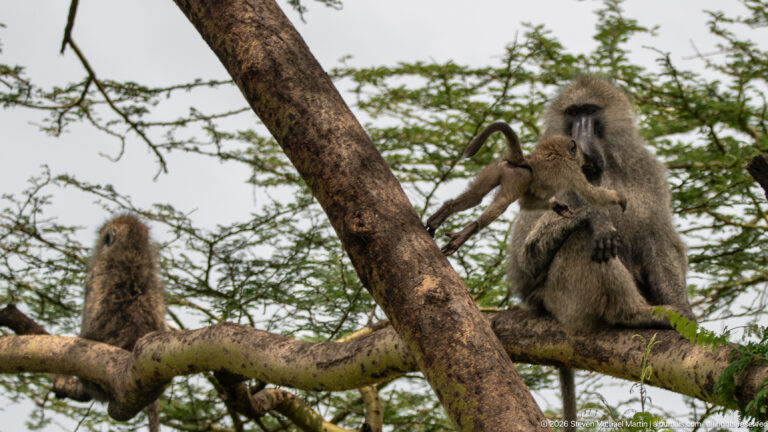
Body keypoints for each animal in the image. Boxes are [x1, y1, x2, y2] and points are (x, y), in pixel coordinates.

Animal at [426, 121, 627, 256]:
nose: (586, 159)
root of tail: (524, 160)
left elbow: (529, 204)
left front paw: (558, 207)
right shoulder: (572, 171)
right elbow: (592, 195)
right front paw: (620, 198)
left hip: (500, 167)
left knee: (476, 196)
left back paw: (438, 218)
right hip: (519, 176)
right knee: (500, 205)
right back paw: (466, 232)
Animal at [506, 75, 695, 431]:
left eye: (591, 112)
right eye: (572, 113)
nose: (578, 142)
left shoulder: (645, 170)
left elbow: (659, 239)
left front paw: (684, 311)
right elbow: (526, 258)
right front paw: (593, 216)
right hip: (561, 300)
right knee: (584, 242)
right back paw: (633, 313)